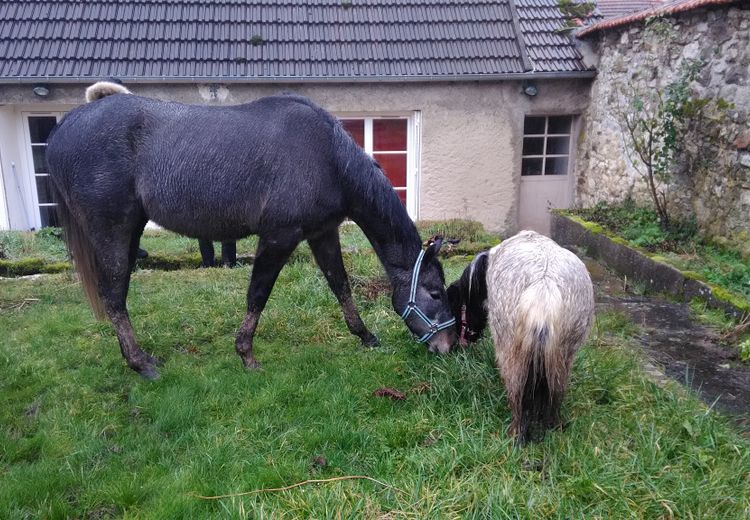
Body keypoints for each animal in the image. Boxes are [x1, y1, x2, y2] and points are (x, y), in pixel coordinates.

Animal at [50, 83, 458, 380]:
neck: (327, 156)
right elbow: (258, 295)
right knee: (114, 296)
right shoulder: (280, 236)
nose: (449, 346)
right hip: (113, 231)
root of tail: (67, 125)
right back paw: (141, 364)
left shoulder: (322, 233)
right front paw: (246, 356)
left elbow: (340, 285)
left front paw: (365, 336)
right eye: (436, 293)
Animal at [450, 232, 596, 442]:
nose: (466, 339)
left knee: (517, 394)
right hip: (563, 358)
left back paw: (516, 435)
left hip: (512, 355)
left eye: (461, 306)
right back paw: (553, 427)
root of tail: (544, 289)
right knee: (556, 392)